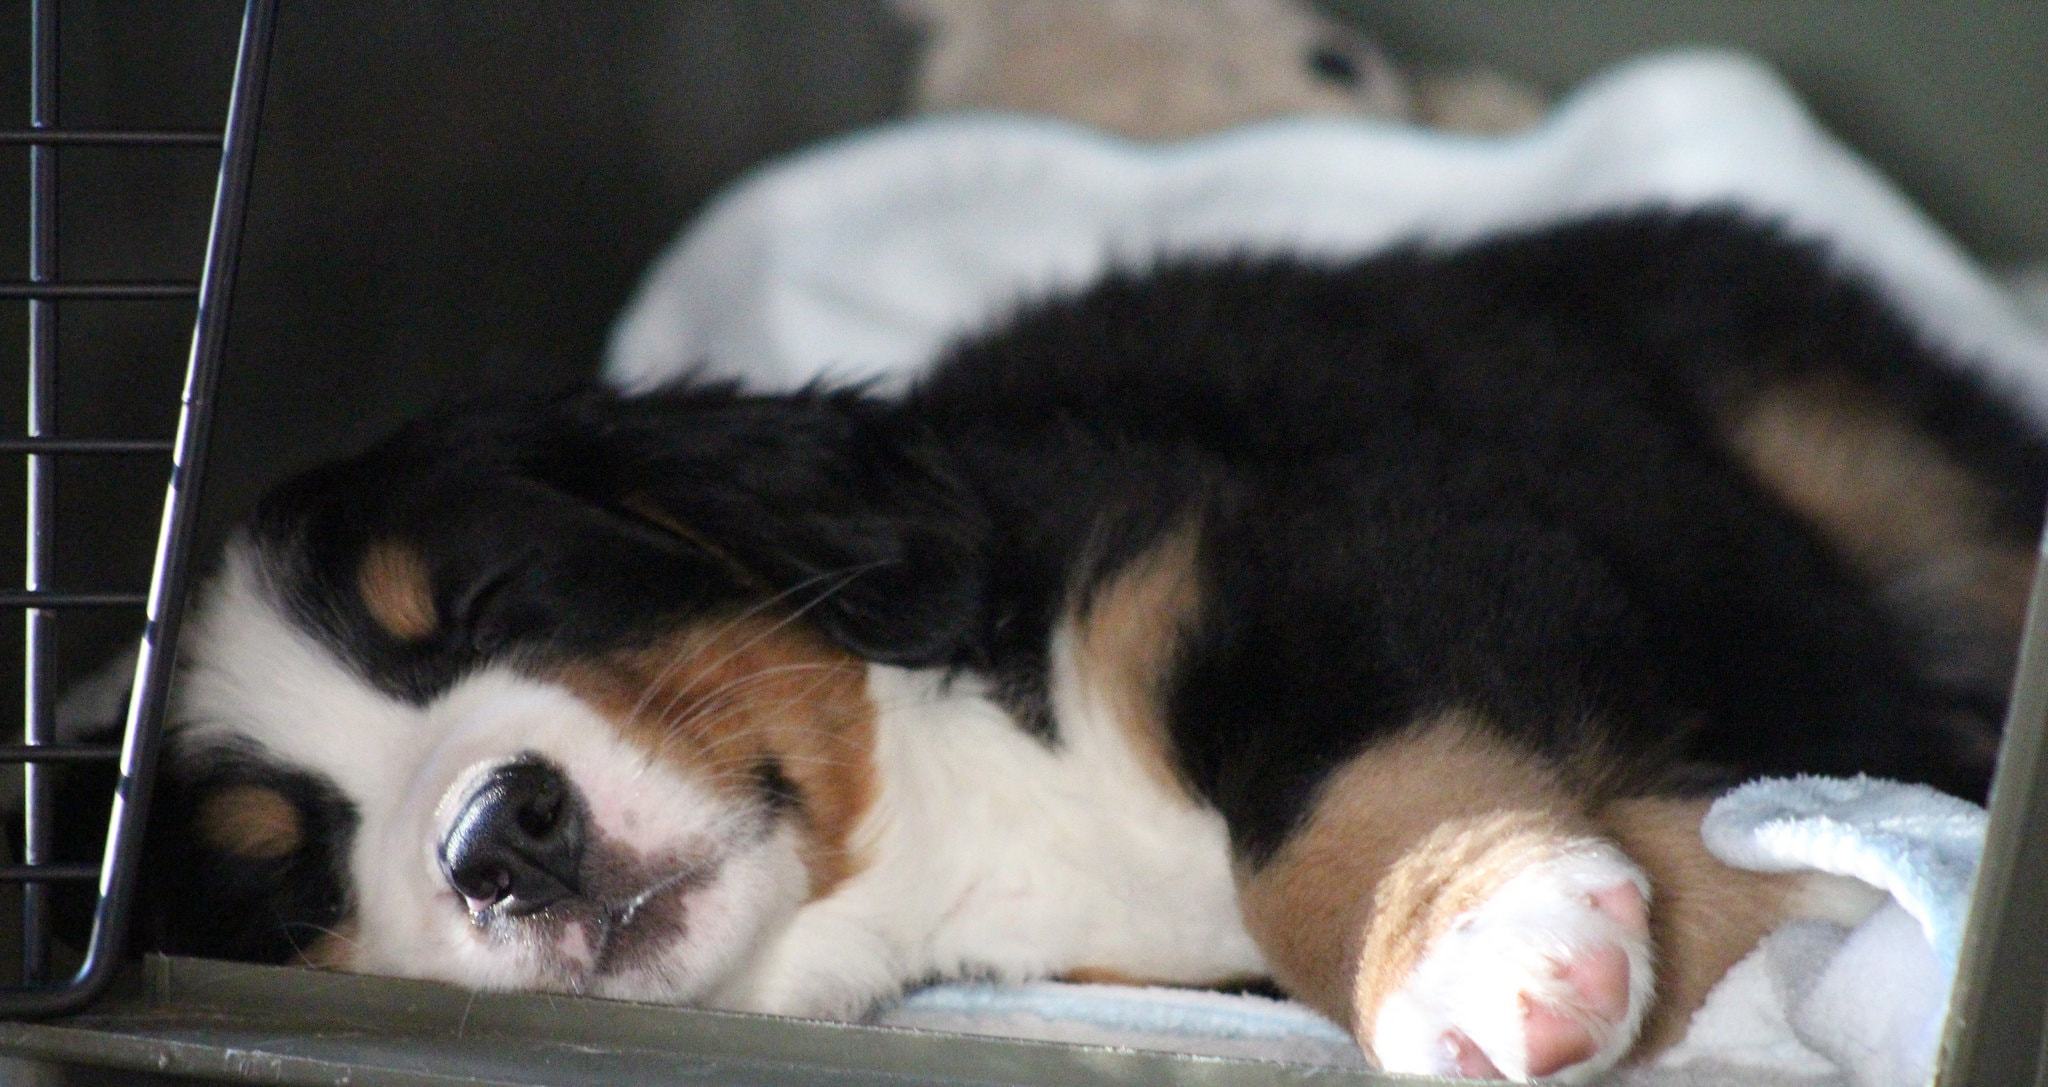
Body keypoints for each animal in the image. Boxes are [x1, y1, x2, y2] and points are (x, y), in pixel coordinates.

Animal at [140, 210, 2031, 1080]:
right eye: (292, 872)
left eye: (485, 602)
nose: (497, 838)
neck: (953, 817)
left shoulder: (1332, 533)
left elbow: (1330, 802)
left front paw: (1475, 942)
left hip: (1854, 450)